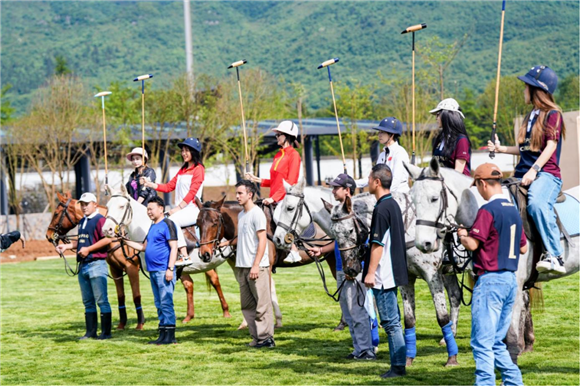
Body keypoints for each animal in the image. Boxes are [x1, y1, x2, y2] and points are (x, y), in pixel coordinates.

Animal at [274, 179, 462, 366]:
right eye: (335, 233)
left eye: (289, 208)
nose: (277, 239)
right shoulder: (400, 278)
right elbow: (396, 315)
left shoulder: (429, 276)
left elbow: (439, 316)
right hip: (447, 273)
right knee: (455, 296)